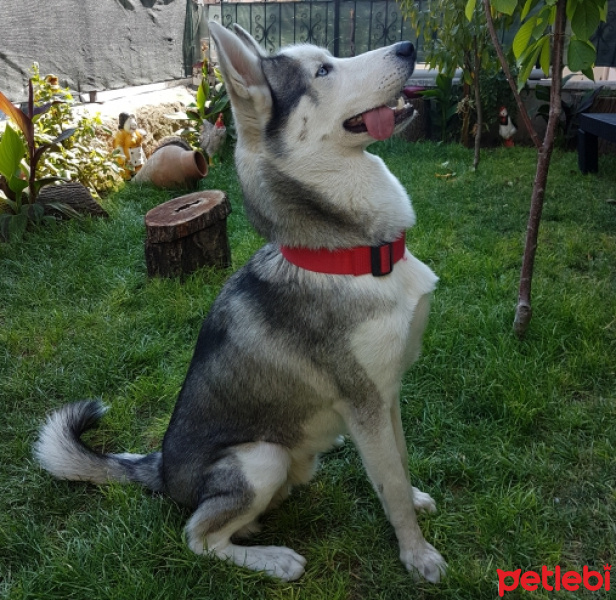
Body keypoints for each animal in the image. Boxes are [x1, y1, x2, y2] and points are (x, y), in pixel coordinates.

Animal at [32, 22, 448, 580]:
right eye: (323, 70)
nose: (408, 48)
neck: (357, 254)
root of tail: (162, 469)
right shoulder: (365, 404)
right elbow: (392, 491)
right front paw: (417, 554)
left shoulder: (388, 395)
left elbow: (400, 467)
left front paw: (418, 503)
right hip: (261, 457)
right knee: (198, 535)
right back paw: (274, 558)